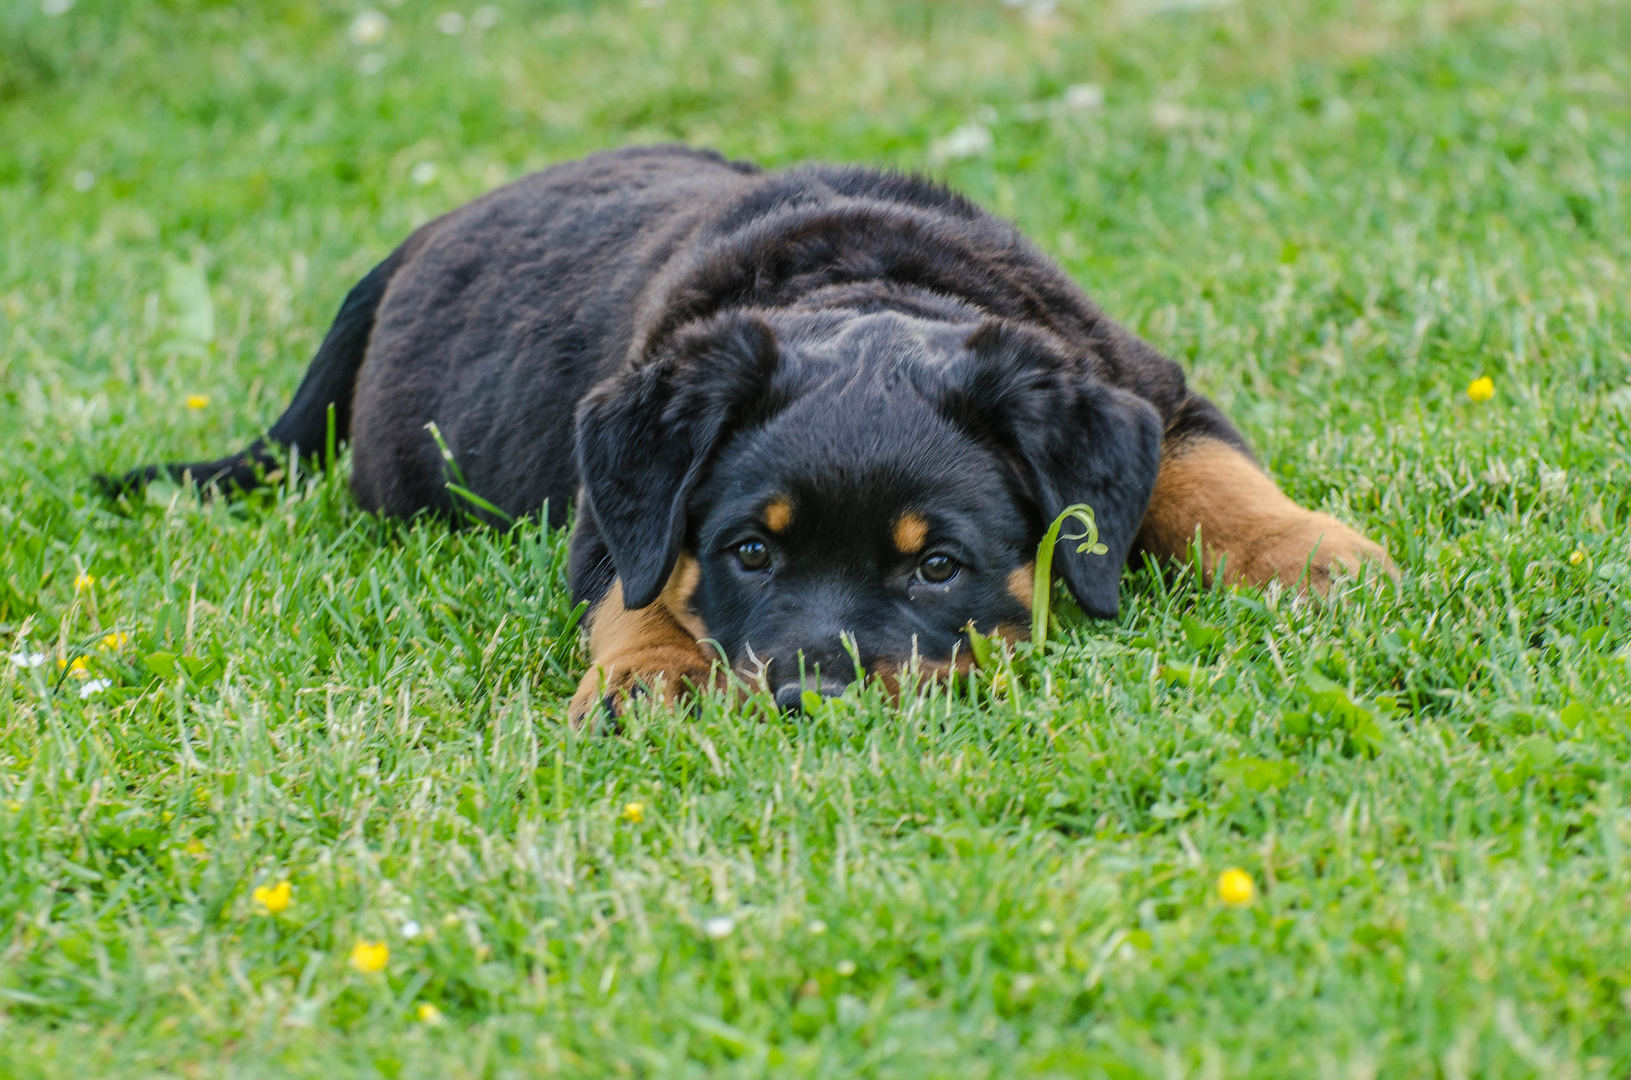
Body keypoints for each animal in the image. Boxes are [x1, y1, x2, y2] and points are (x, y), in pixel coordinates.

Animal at [108, 143, 1396, 717]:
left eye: (937, 566)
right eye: (750, 550)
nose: (810, 695)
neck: (864, 285)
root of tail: (416, 236)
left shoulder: (1140, 384)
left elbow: (1203, 476)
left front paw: (1316, 561)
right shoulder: (610, 505)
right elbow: (635, 589)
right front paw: (651, 677)